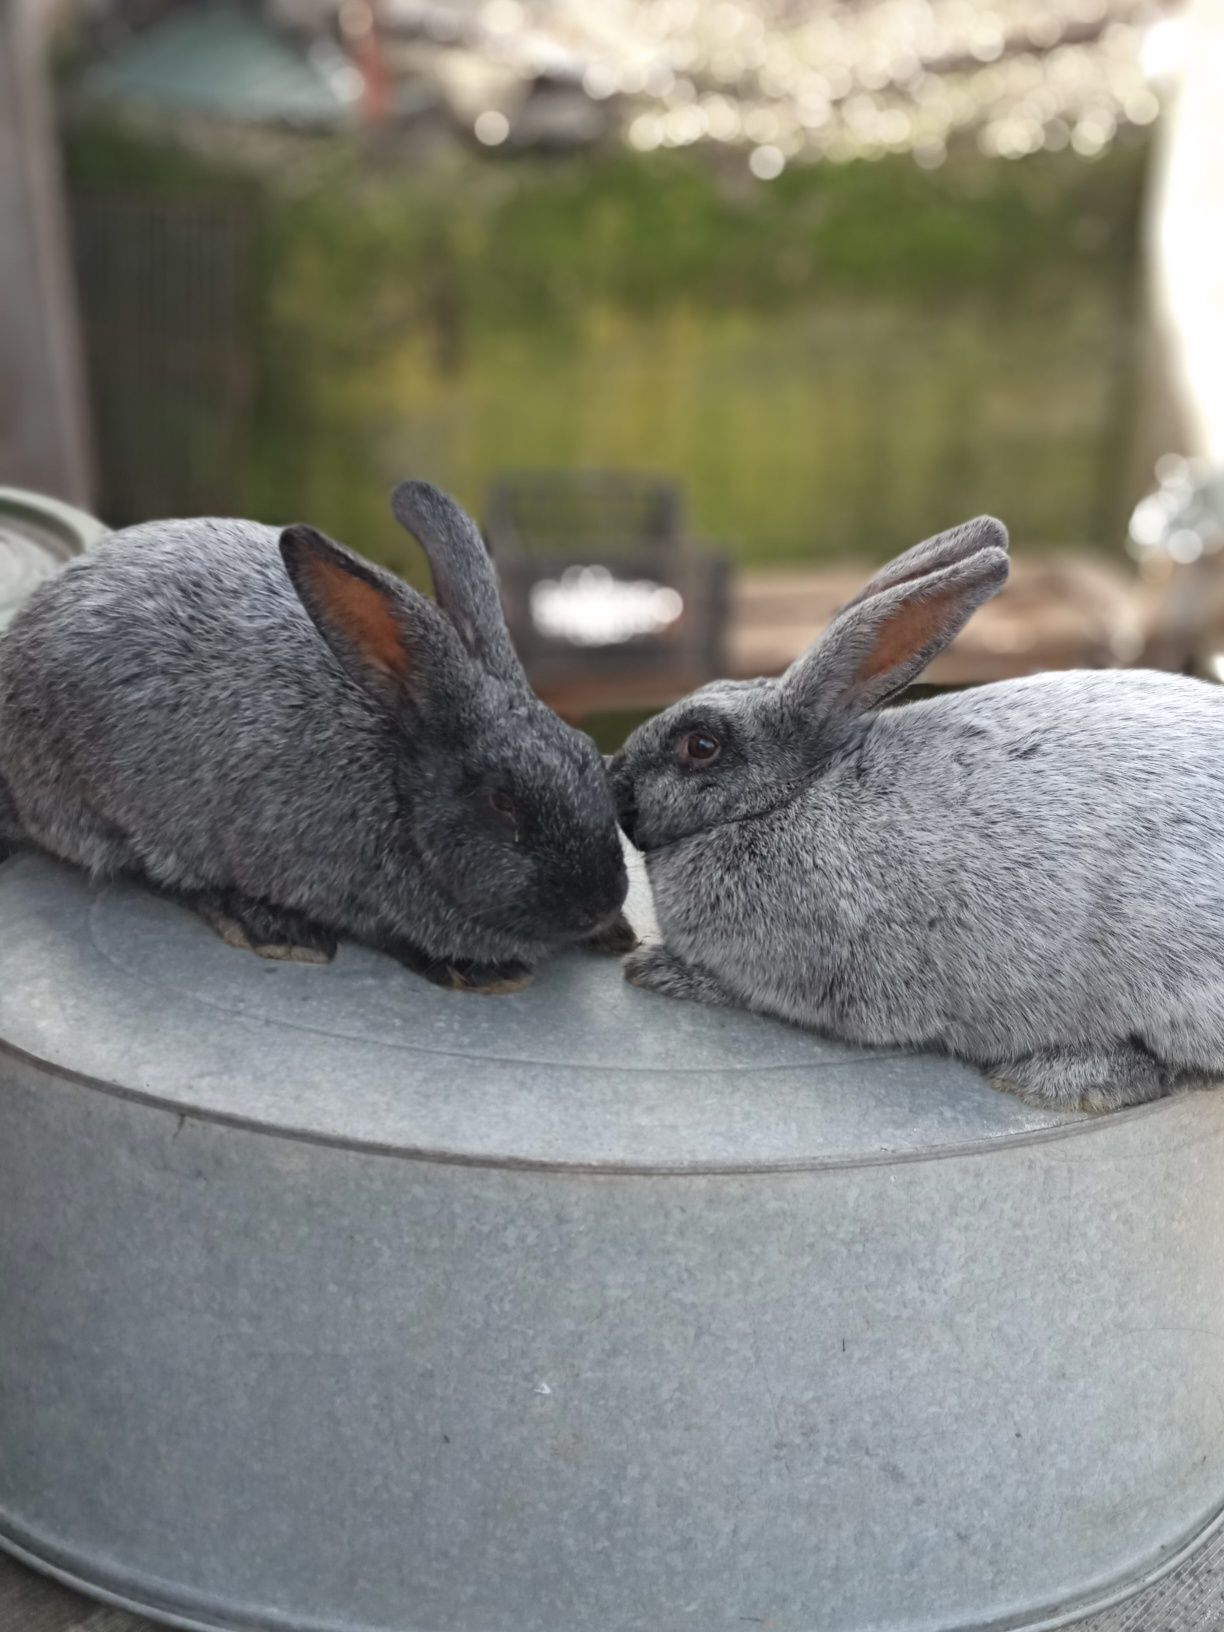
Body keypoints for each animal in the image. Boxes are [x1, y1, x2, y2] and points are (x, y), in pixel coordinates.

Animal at [0, 476, 633, 992]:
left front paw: (617, 934)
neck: (400, 785)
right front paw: (481, 971)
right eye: (503, 802)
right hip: (118, 809)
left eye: (588, 757)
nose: (602, 901)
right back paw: (275, 929)